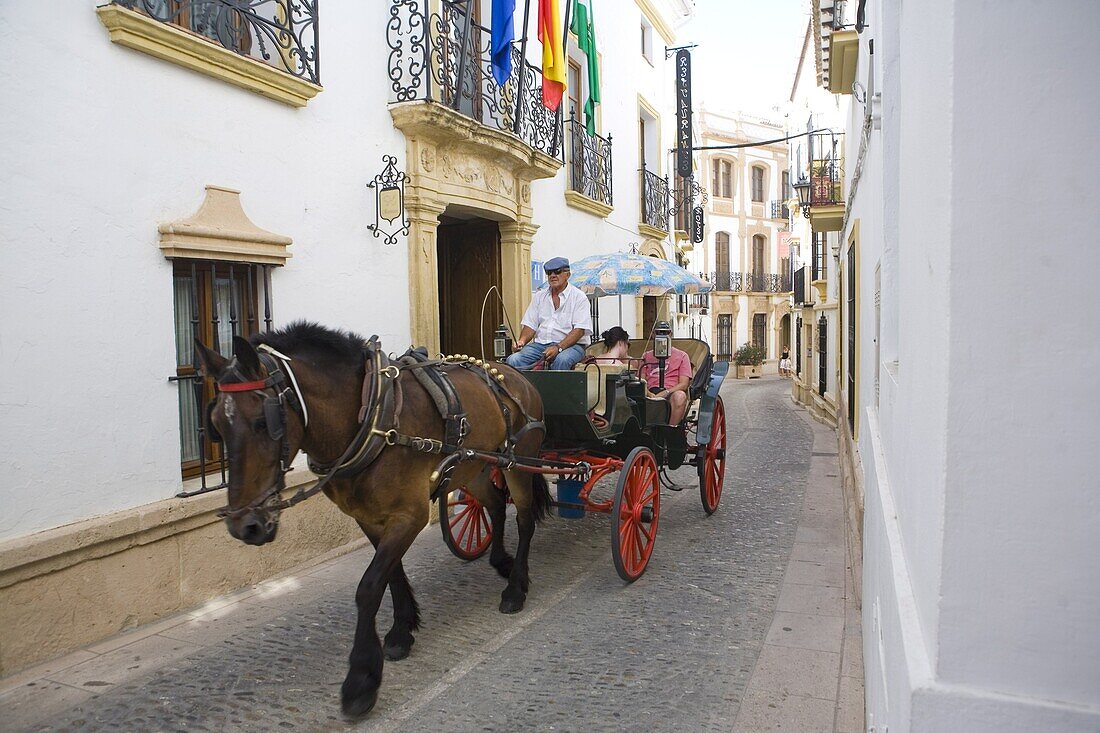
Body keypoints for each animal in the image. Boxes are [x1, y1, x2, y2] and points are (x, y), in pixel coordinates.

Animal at [196, 321, 550, 713]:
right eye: (216, 425)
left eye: (262, 422)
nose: (245, 526)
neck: (371, 417)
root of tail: (514, 374)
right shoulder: (367, 517)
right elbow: (390, 575)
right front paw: (401, 630)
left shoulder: (410, 515)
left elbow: (368, 587)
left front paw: (361, 678)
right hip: (474, 466)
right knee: (495, 505)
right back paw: (500, 561)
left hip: (520, 462)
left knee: (524, 517)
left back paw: (515, 588)